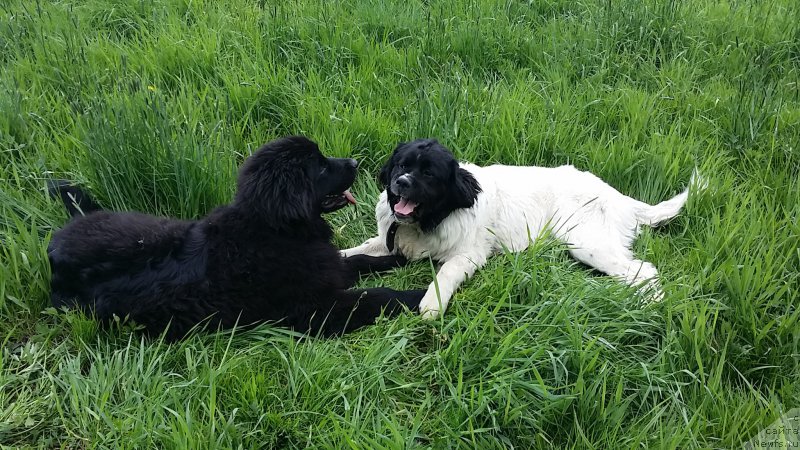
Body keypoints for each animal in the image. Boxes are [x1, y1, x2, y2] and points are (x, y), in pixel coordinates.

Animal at [48, 135, 424, 340]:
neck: (275, 229)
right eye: (319, 166)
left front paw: (396, 258)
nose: (356, 162)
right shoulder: (314, 307)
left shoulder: (327, 267)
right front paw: (420, 294)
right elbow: (375, 296)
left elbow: (358, 260)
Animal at [340, 139, 704, 318]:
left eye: (428, 173)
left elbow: (444, 274)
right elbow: (356, 251)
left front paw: (432, 305)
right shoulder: (387, 242)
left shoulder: (468, 255)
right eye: (402, 165)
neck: (432, 218)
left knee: (644, 270)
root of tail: (620, 197)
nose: (400, 182)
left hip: (585, 241)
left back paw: (648, 305)